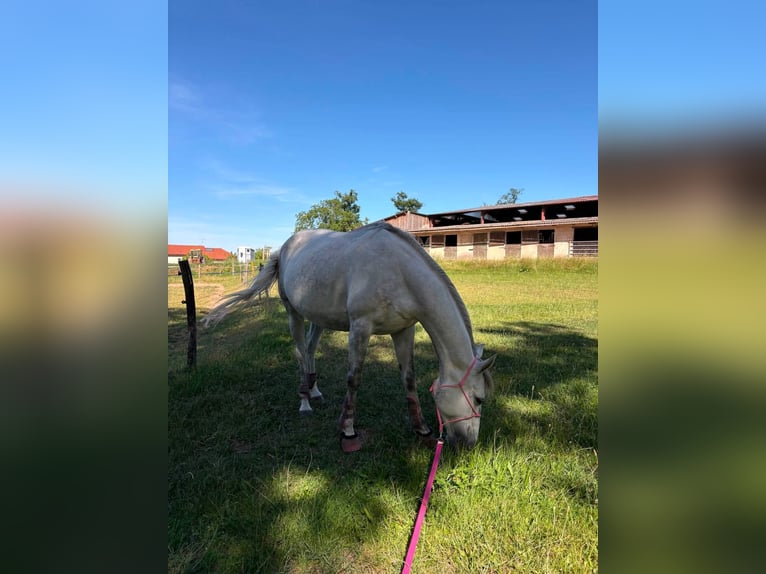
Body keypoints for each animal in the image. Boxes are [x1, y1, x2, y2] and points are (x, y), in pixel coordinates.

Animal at [203, 221, 495, 452]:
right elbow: (353, 379)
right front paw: (348, 433)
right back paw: (305, 402)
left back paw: (315, 392)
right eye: (479, 399)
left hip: (318, 318)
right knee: (299, 353)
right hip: (293, 313)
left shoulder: (403, 330)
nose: (469, 444)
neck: (398, 271)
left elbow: (409, 379)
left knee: (310, 350)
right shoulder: (360, 328)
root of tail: (284, 248)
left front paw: (421, 429)